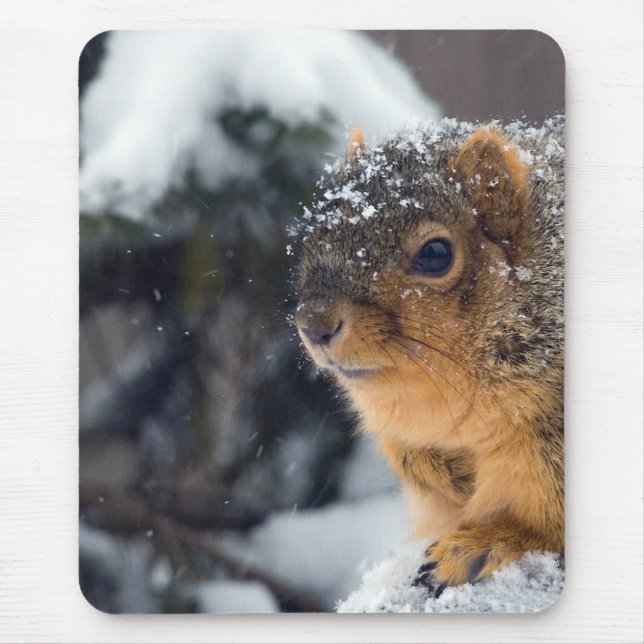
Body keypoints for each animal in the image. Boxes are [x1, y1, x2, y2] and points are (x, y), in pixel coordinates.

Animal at [292, 117, 564, 595]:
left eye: (436, 254)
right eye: (315, 234)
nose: (313, 324)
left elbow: (545, 532)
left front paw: (494, 540)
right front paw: (446, 471)